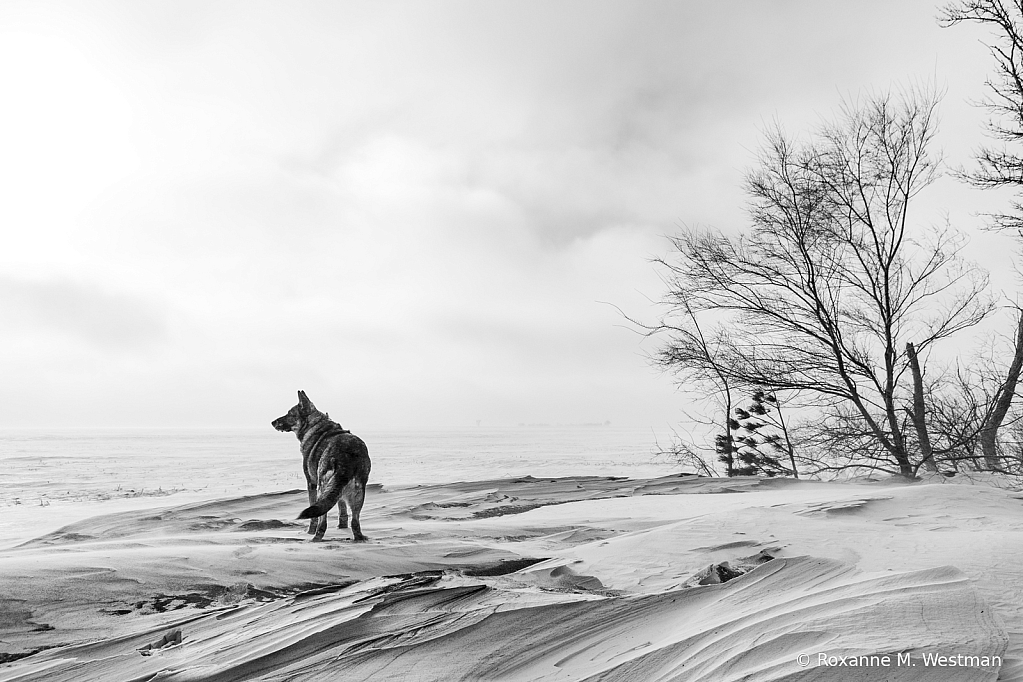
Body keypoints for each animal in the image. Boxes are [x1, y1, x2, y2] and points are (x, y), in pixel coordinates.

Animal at [272, 392, 372, 539]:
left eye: (290, 414)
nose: (272, 422)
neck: (315, 426)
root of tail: (346, 454)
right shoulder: (338, 491)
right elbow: (342, 508)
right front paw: (342, 526)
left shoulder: (311, 483)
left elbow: (313, 514)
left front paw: (310, 530)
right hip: (358, 493)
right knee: (355, 522)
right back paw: (359, 537)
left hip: (322, 488)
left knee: (322, 521)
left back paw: (315, 537)